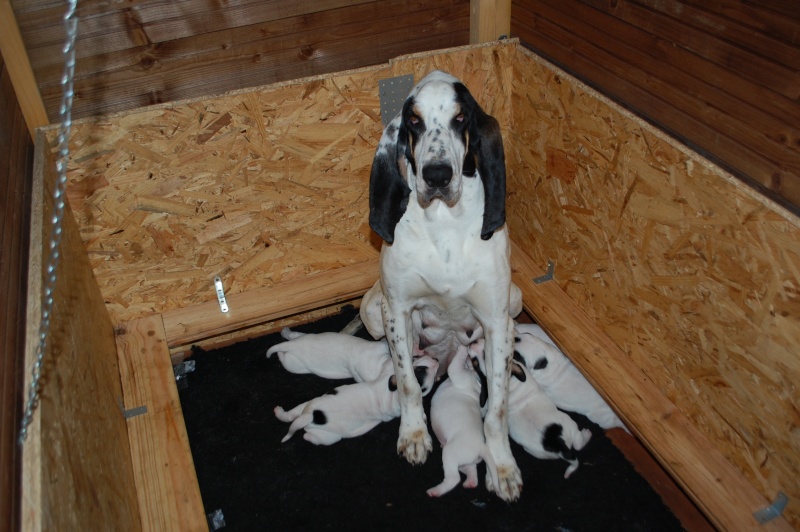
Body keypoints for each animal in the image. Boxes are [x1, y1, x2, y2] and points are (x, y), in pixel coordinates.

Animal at [274, 356, 438, 446]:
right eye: (421, 369)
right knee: (305, 434)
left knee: (294, 417)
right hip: (326, 432)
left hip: (312, 414)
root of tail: (311, 416)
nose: (436, 360)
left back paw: (279, 412)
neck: (392, 392)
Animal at [428, 342, 496, 496]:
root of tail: (481, 446)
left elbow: (455, 365)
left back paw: (435, 491)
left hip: (450, 453)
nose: (473, 342)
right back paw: (470, 482)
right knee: (471, 472)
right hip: (464, 461)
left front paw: (463, 349)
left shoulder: (458, 373)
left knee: (453, 478)